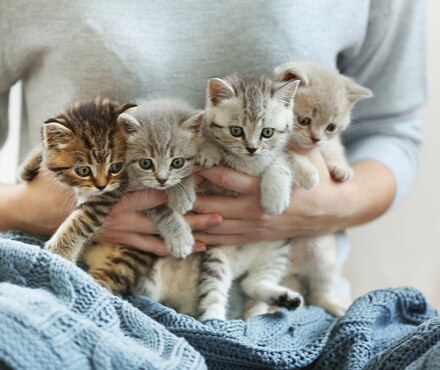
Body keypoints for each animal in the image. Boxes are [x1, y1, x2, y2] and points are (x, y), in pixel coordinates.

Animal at [19, 97, 137, 262]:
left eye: (115, 167)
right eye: (83, 171)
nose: (101, 186)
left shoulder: (108, 193)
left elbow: (80, 220)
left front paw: (60, 253)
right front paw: (27, 167)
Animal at [83, 99, 205, 300]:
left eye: (177, 162)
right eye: (146, 163)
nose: (162, 180)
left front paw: (182, 193)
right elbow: (161, 209)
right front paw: (179, 238)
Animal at [194, 73, 304, 320]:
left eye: (267, 132)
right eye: (236, 131)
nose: (252, 148)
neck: (248, 164)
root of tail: (242, 264)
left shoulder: (276, 154)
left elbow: (280, 164)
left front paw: (275, 197)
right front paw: (208, 150)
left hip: (276, 249)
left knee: (251, 283)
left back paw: (284, 298)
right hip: (216, 256)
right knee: (214, 290)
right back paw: (214, 320)